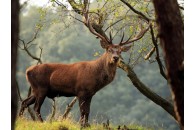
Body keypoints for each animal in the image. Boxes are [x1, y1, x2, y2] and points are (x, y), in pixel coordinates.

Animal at [18, 3, 150, 127]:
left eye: (120, 51)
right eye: (109, 49)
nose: (115, 58)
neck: (95, 77)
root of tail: (27, 71)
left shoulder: (90, 93)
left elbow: (87, 111)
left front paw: (87, 125)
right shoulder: (81, 91)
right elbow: (83, 111)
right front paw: (82, 125)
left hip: (35, 89)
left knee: (25, 102)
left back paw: (20, 119)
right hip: (41, 87)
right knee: (36, 107)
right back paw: (42, 122)